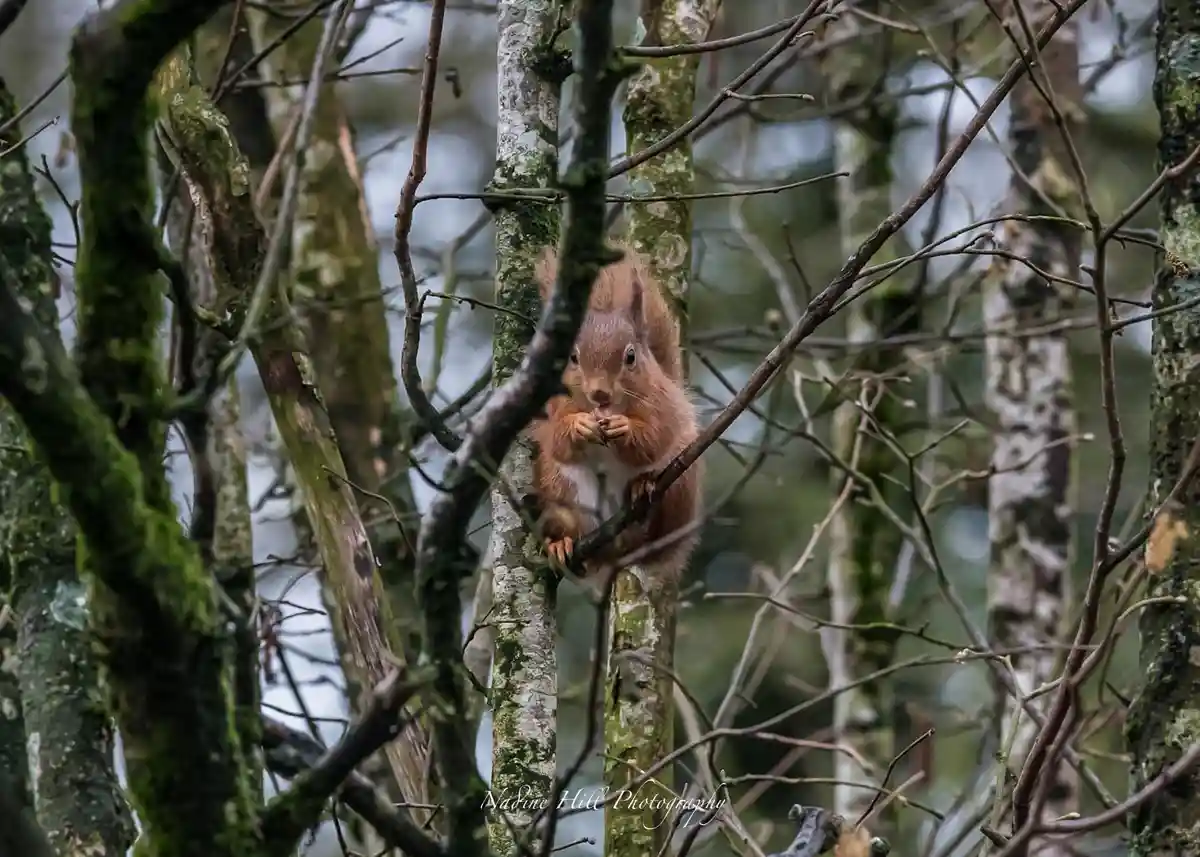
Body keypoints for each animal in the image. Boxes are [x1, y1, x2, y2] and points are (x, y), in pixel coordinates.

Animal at [530, 246, 702, 585]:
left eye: (631, 356)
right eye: (573, 357)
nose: (600, 394)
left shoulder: (663, 405)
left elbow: (655, 437)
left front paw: (624, 428)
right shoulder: (551, 408)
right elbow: (557, 441)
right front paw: (579, 426)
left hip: (680, 490)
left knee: (650, 535)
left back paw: (642, 490)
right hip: (558, 497)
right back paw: (560, 544)